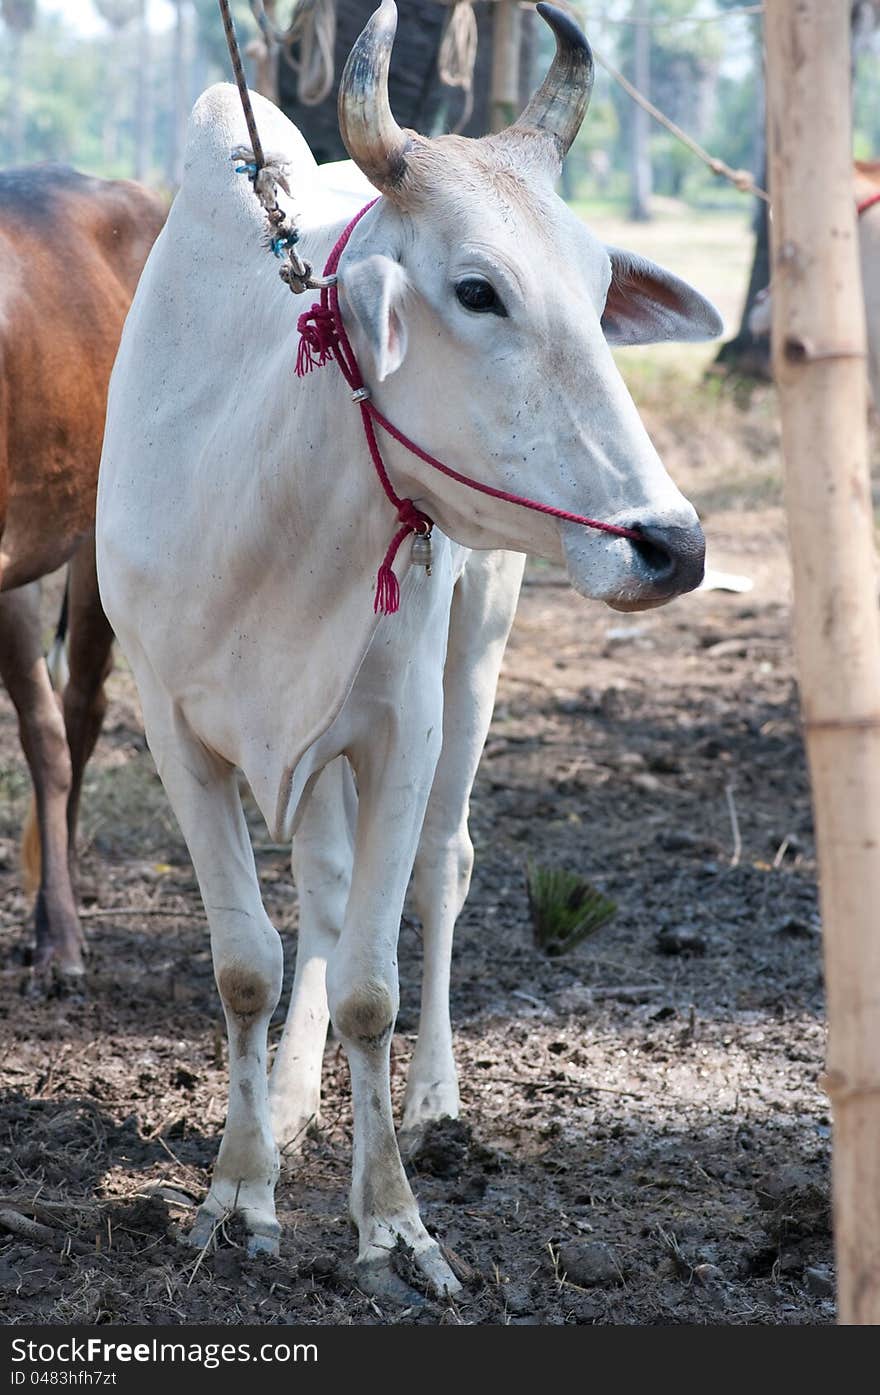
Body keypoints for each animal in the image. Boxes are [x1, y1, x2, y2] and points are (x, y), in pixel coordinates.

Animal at [98, 2, 725, 1305]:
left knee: (439, 869)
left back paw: (434, 1101)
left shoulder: (400, 732)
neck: (267, 497)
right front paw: (239, 1190)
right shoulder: (176, 728)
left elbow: (372, 988)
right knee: (332, 895)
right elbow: (250, 963)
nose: (670, 543)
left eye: (600, 291)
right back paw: (291, 1105)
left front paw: (392, 1223)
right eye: (477, 290)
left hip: (471, 657)